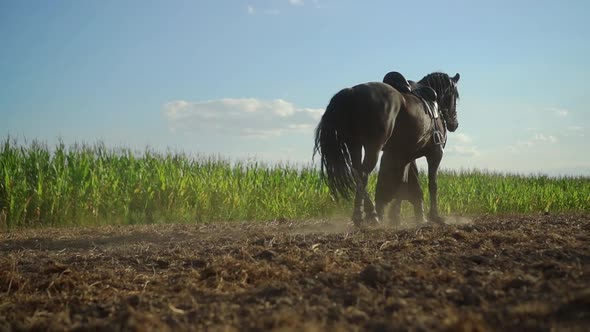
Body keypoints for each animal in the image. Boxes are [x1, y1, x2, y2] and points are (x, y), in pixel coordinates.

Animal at [314, 72, 462, 226]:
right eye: (455, 95)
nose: (454, 124)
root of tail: (351, 92)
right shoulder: (435, 153)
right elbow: (432, 183)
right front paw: (434, 216)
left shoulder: (405, 155)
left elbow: (403, 181)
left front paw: (396, 216)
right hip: (372, 148)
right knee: (364, 174)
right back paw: (366, 216)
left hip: (354, 146)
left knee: (358, 174)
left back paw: (368, 214)